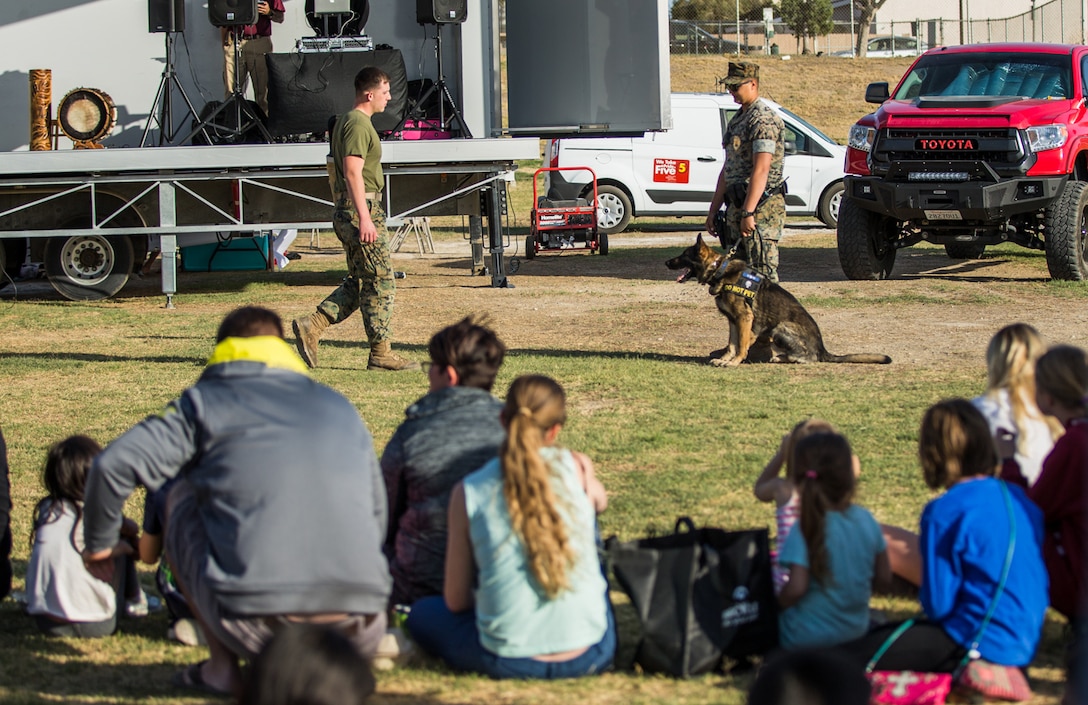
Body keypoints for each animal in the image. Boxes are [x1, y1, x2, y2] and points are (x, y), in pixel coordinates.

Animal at [661, 237, 892, 369]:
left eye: (683, 255)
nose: (666, 262)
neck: (720, 270)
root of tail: (822, 349)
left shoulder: (744, 318)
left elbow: (742, 345)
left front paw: (734, 362)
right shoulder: (733, 321)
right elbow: (732, 344)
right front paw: (725, 359)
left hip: (781, 327)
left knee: (807, 358)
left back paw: (783, 358)